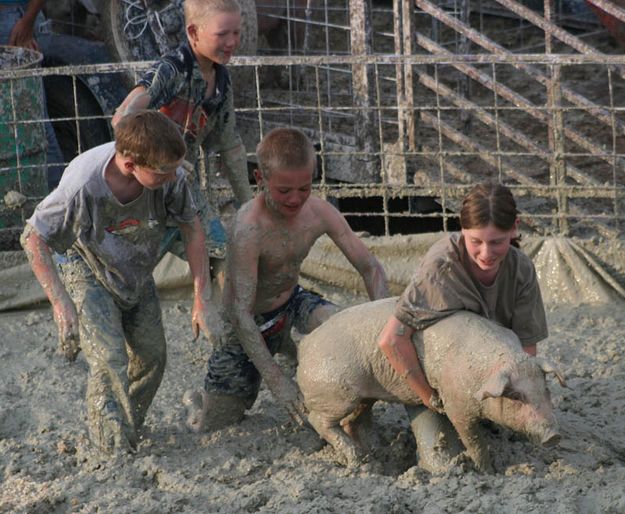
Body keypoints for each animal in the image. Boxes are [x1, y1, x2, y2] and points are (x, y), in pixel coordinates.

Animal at [298, 296, 564, 472]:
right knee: (318, 420)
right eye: (517, 396)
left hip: (363, 396)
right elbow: (473, 439)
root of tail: (306, 344)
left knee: (352, 421)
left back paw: (372, 458)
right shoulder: (456, 404)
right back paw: (357, 462)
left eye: (545, 390)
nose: (554, 435)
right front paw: (486, 471)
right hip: (336, 393)